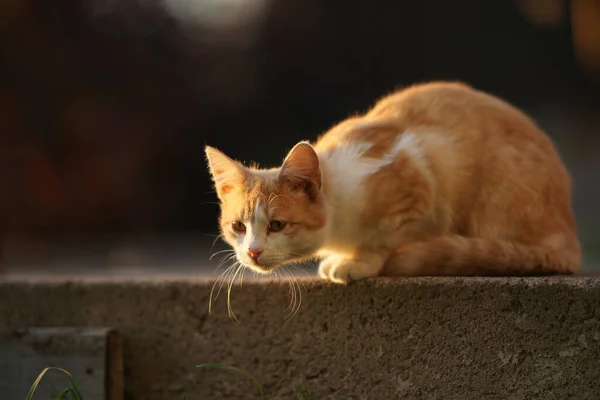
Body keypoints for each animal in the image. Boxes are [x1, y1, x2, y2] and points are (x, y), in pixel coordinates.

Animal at [206, 80, 580, 284]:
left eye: (278, 225)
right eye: (238, 226)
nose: (253, 252)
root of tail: (570, 238)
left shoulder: (420, 172)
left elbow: (386, 239)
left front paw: (359, 261)